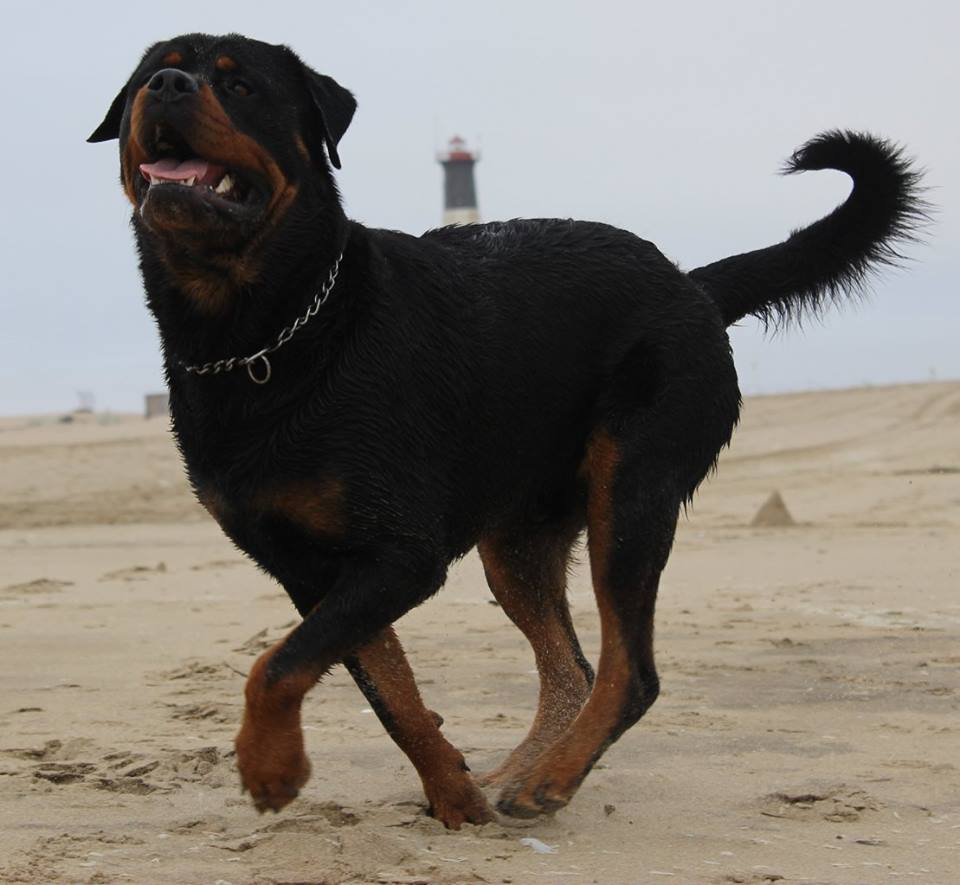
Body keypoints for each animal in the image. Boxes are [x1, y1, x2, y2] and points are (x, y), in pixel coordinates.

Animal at [90, 31, 924, 824]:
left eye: (239, 85)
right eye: (146, 80)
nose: (168, 85)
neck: (264, 333)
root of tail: (692, 286)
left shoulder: (402, 555)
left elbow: (280, 665)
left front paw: (271, 765)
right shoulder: (309, 569)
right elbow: (388, 692)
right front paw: (453, 796)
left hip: (631, 492)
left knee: (631, 671)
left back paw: (551, 777)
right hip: (517, 541)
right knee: (570, 668)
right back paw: (523, 770)